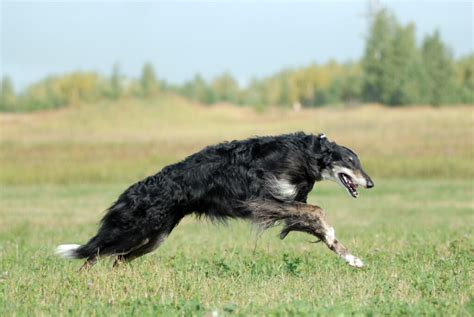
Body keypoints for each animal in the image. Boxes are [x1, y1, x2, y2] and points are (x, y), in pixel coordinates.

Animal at [56, 132, 374, 268]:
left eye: (359, 161)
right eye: (350, 161)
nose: (370, 183)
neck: (307, 154)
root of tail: (131, 191)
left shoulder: (285, 205)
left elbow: (318, 225)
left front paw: (352, 258)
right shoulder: (262, 201)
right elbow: (318, 212)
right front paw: (337, 241)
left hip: (154, 237)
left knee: (117, 259)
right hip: (134, 230)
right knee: (93, 254)